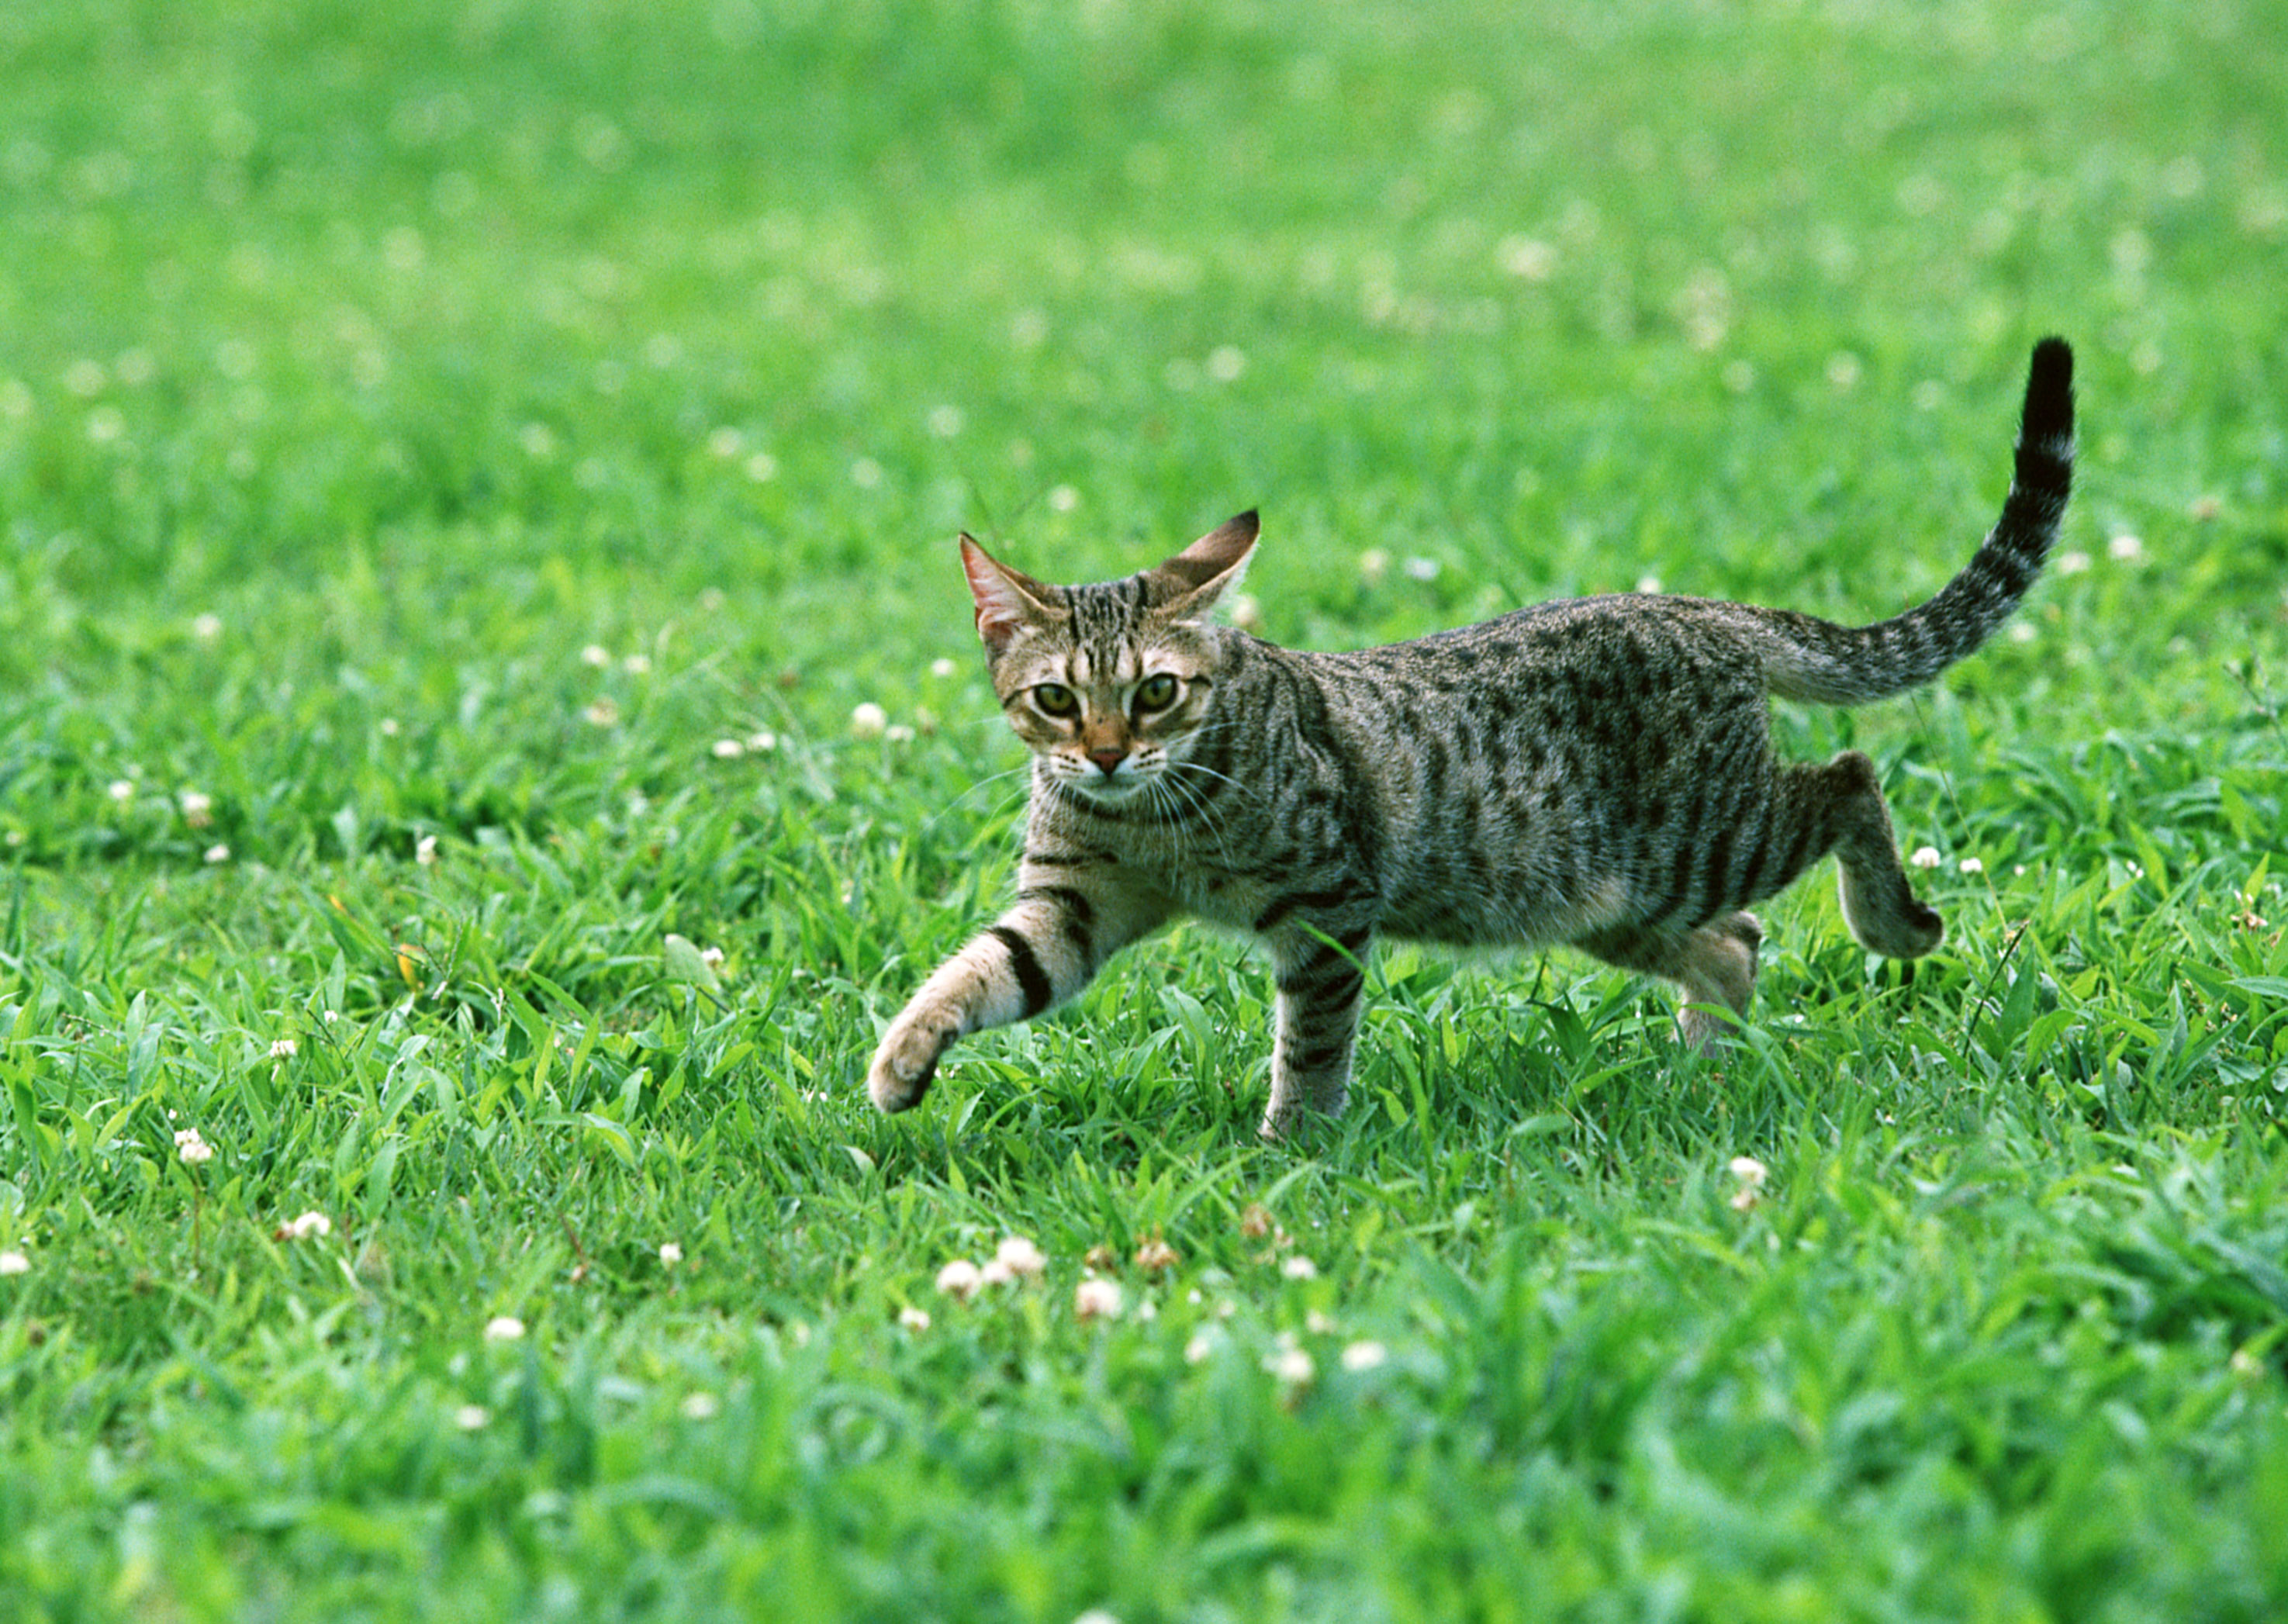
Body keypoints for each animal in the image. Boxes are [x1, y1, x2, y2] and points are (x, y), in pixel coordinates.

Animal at [865, 336, 2086, 1139]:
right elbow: (978, 969)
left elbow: (1311, 1045)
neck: (1149, 821)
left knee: (1846, 776)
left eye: (1157, 691)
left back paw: (1892, 924)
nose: (1110, 752)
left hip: (1703, 837)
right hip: (1616, 897)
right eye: (1056, 701)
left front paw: (1291, 1151)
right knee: (1735, 941)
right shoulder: (1072, 904)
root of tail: (1704, 609)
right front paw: (899, 1062)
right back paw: (1708, 1077)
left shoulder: (1329, 905)